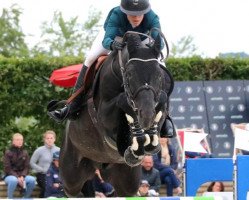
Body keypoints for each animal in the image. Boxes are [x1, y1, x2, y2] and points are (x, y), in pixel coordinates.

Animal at [59, 32, 174, 196]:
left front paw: (146, 140)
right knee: (73, 190)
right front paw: (137, 141)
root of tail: (98, 165)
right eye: (130, 74)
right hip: (71, 175)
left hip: (126, 183)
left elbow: (162, 102)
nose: (146, 115)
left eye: (159, 75)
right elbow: (123, 100)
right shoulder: (104, 115)